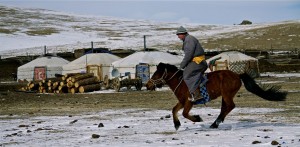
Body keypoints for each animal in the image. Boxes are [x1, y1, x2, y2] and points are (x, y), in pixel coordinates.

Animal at [146, 62, 288, 130]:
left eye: (156, 74)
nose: (147, 85)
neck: (182, 82)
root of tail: (237, 75)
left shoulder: (189, 102)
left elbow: (185, 114)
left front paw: (197, 118)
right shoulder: (182, 101)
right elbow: (174, 110)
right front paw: (176, 124)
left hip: (227, 94)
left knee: (230, 106)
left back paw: (216, 123)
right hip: (225, 96)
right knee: (225, 107)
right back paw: (216, 123)